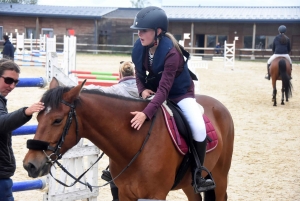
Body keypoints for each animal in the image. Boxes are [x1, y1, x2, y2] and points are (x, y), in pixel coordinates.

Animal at [23, 78, 234, 201]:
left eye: (57, 120)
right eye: (38, 118)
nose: (30, 165)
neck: (136, 143)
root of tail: (219, 106)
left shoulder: (155, 196)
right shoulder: (125, 194)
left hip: (220, 178)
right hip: (189, 185)